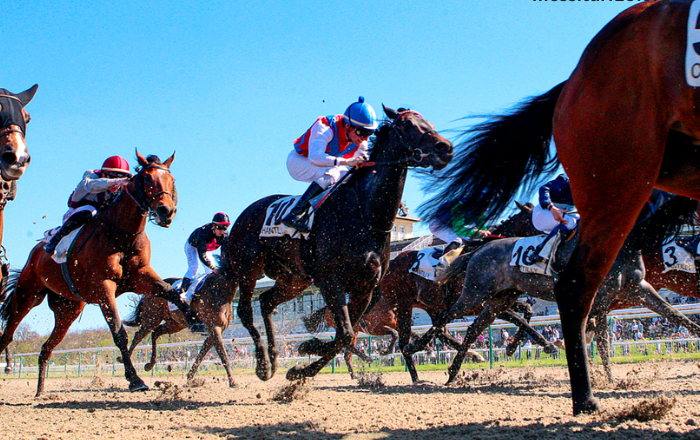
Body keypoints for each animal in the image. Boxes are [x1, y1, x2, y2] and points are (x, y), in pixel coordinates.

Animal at [0, 151, 189, 396]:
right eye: (147, 178)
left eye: (171, 180)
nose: (166, 211)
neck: (121, 233)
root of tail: (36, 253)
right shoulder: (103, 286)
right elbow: (119, 332)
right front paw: (134, 379)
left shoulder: (140, 276)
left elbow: (170, 292)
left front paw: (197, 319)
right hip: (28, 295)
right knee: (7, 335)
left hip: (68, 310)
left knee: (46, 348)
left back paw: (40, 391)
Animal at [226, 106, 454, 382]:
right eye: (408, 125)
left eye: (429, 123)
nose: (445, 148)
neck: (364, 214)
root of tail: (244, 215)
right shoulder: (330, 280)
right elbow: (344, 333)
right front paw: (306, 357)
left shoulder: (364, 288)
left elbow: (344, 334)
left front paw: (306, 355)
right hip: (248, 269)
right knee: (245, 310)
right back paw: (263, 364)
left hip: (294, 279)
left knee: (267, 302)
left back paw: (274, 355)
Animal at [418, 0, 700, 412]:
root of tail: (479, 250)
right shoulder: (604, 299)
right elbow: (597, 335)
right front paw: (599, 381)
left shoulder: (636, 292)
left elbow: (671, 319)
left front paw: (608, 378)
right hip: (477, 295)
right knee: (448, 317)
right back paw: (418, 349)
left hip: (497, 299)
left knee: (472, 328)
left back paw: (455, 371)